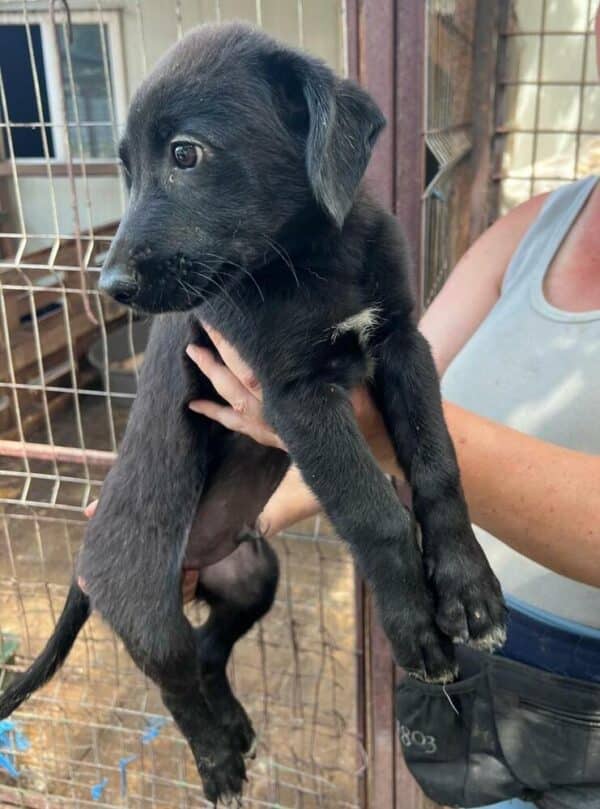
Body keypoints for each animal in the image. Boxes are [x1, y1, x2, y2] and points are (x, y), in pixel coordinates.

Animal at [1, 22, 506, 804]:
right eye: (124, 168)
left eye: (185, 154)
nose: (108, 286)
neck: (315, 254)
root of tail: (87, 561)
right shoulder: (292, 394)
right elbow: (375, 512)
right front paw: (414, 626)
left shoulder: (402, 343)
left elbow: (438, 465)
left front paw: (467, 589)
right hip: (148, 608)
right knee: (175, 678)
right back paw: (217, 760)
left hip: (250, 577)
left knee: (209, 652)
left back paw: (235, 727)